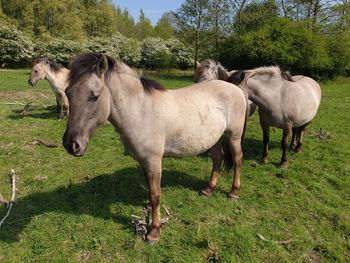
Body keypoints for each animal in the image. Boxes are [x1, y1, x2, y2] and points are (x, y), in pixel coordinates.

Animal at [63, 52, 249, 244]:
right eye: (67, 93)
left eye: (94, 96)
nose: (71, 144)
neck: (141, 111)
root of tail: (235, 89)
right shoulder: (144, 162)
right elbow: (150, 193)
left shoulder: (153, 161)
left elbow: (155, 196)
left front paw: (154, 232)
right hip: (213, 139)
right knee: (218, 158)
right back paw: (208, 189)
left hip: (233, 137)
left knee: (237, 159)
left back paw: (234, 192)